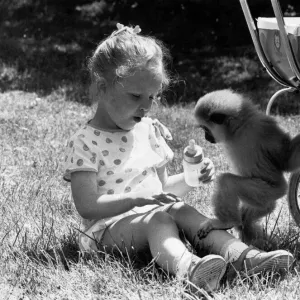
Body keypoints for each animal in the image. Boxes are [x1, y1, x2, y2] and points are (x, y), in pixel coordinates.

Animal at [195, 88, 300, 244]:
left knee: (227, 181)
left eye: (206, 129)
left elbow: (285, 160)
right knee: (247, 219)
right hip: (264, 200)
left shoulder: (261, 127)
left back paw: (227, 222)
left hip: (267, 191)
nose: (206, 137)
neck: (239, 129)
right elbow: (284, 161)